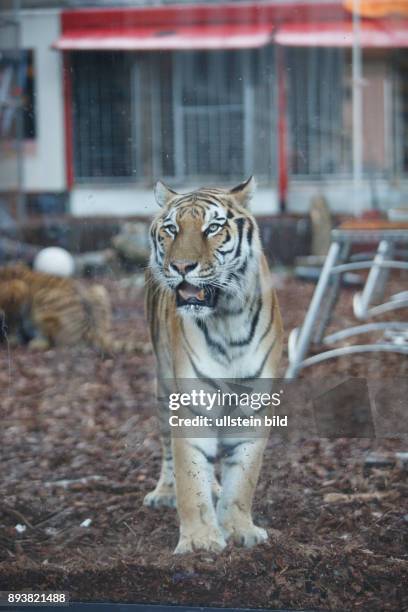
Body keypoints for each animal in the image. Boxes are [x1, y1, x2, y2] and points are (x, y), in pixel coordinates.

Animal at [144, 176, 284, 556]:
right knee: (168, 451)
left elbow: (243, 477)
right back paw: (164, 493)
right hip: (163, 385)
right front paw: (200, 541)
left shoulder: (254, 407)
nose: (181, 267)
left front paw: (238, 529)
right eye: (172, 229)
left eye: (213, 228)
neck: (227, 319)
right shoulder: (192, 403)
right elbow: (190, 475)